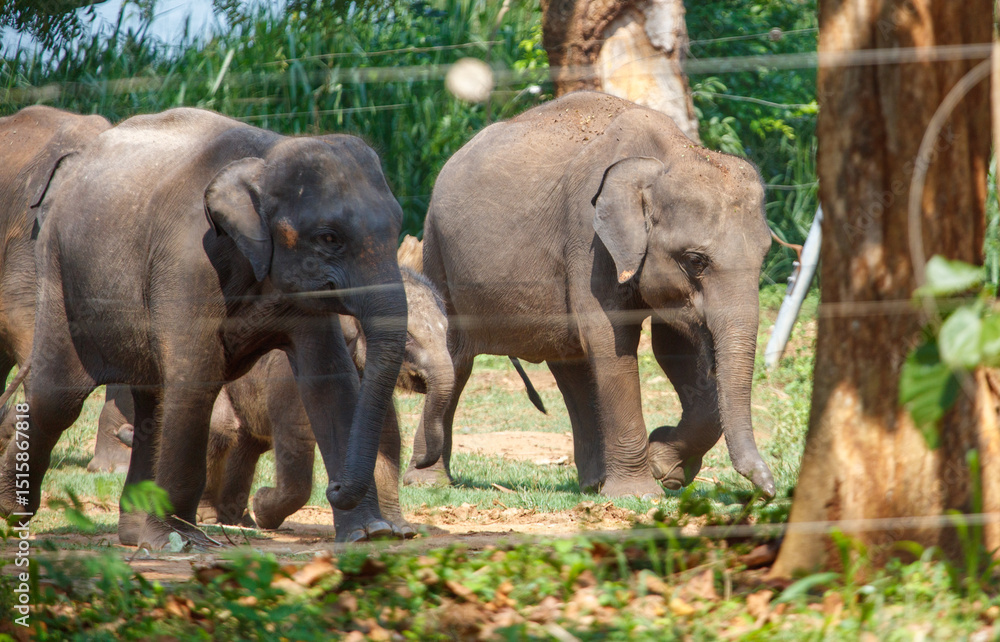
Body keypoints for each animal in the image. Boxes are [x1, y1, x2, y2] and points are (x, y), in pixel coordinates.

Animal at [420, 91, 776, 499]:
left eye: (764, 255)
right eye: (695, 260)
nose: (768, 488)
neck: (670, 155)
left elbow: (672, 346)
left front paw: (664, 467)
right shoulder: (587, 238)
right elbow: (609, 338)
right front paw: (639, 493)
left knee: (570, 363)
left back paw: (592, 483)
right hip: (437, 249)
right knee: (455, 357)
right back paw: (427, 481)